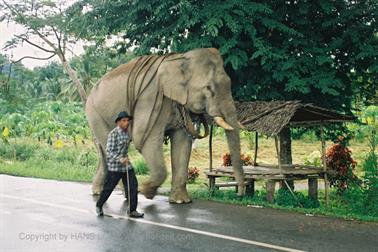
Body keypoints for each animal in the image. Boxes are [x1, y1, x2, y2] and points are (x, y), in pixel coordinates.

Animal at [85, 47, 245, 204]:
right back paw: (125, 195)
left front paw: (180, 201)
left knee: (105, 152)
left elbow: (182, 143)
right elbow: (144, 140)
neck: (180, 59)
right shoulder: (149, 100)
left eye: (229, 83)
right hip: (95, 114)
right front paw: (146, 191)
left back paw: (100, 192)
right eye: (208, 88)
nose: (239, 194)